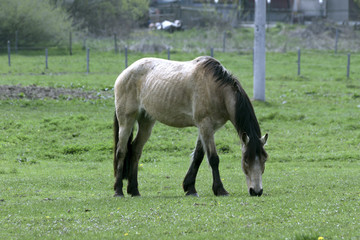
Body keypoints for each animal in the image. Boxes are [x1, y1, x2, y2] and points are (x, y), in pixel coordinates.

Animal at [112, 55, 268, 197]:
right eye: (246, 160)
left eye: (264, 159)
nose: (256, 191)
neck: (216, 89)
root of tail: (125, 72)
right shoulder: (205, 125)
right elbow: (213, 158)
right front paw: (220, 190)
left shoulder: (208, 128)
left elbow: (198, 156)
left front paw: (190, 188)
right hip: (126, 120)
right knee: (121, 151)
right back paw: (118, 190)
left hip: (146, 121)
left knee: (136, 150)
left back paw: (134, 190)